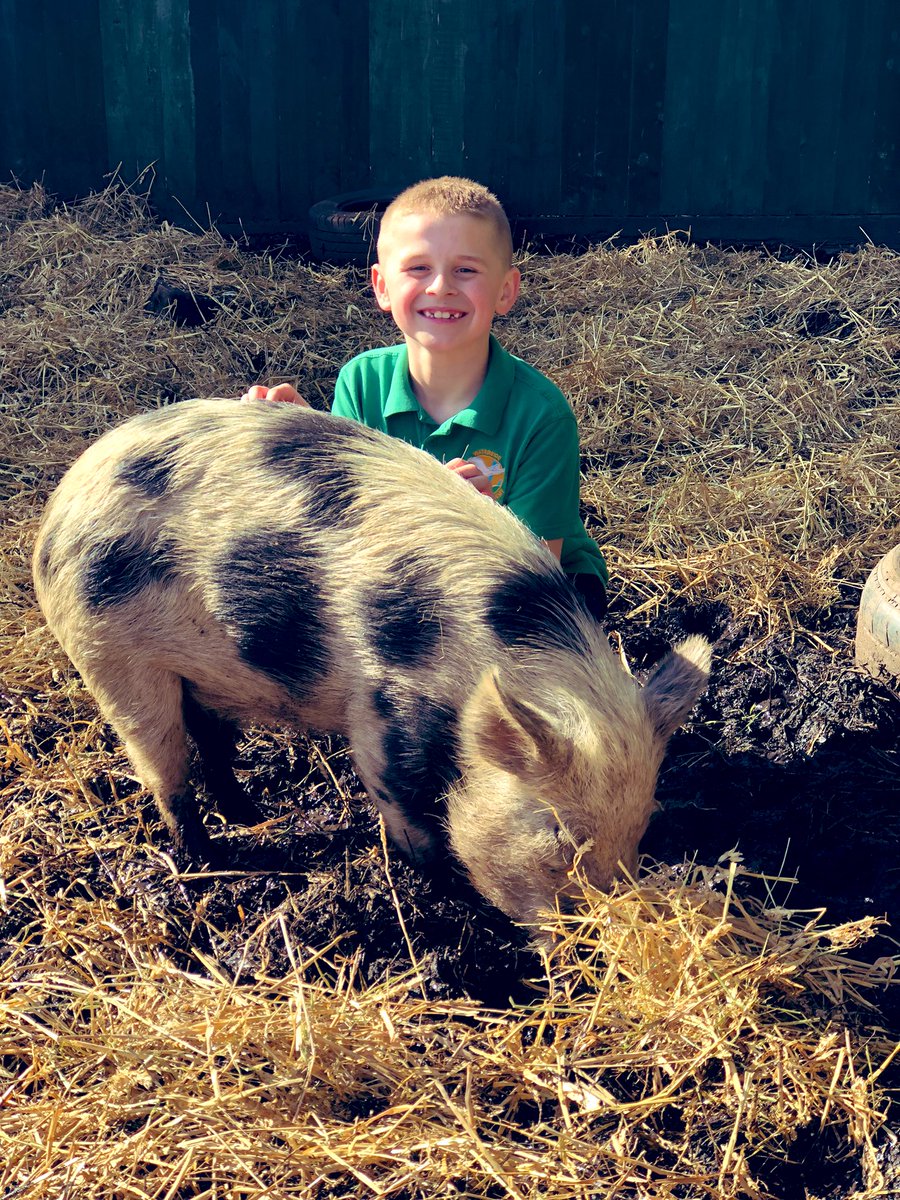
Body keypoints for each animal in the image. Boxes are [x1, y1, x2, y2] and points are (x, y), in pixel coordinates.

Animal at [32, 398, 711, 929]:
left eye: (644, 825)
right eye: (558, 835)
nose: (580, 946)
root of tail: (61, 501)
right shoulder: (384, 714)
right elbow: (407, 815)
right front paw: (441, 895)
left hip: (199, 674)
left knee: (212, 743)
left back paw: (251, 815)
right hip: (107, 653)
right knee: (163, 771)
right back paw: (208, 859)